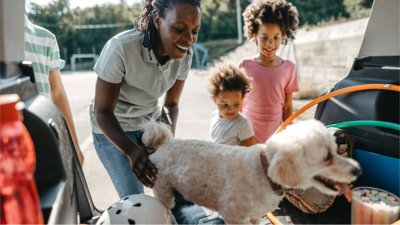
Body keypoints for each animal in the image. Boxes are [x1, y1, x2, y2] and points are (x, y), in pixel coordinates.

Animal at [142, 118, 360, 224]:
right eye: (326, 156)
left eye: (336, 148)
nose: (358, 170)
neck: (265, 171)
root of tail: (163, 143)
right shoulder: (233, 215)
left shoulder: (255, 215)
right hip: (163, 189)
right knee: (166, 208)